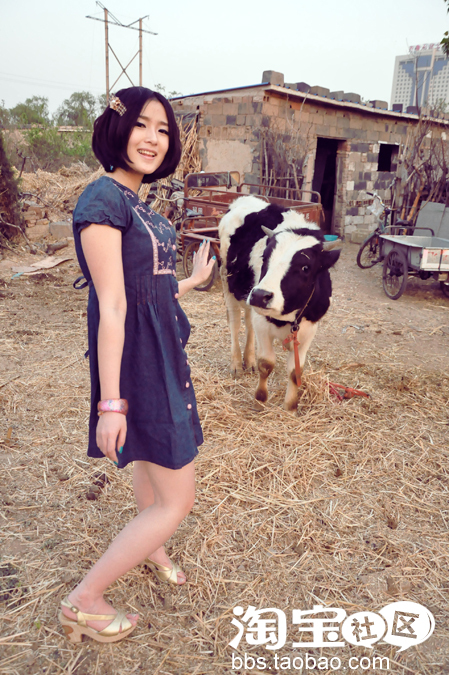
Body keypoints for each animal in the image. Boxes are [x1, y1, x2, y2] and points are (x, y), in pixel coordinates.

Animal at [219, 195, 340, 411]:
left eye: (305, 267)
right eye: (265, 257)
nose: (260, 295)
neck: (288, 315)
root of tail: (243, 199)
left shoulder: (309, 329)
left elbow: (295, 371)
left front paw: (290, 406)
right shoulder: (262, 322)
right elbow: (266, 363)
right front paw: (260, 399)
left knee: (248, 322)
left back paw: (249, 360)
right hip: (227, 281)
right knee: (235, 322)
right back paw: (237, 364)